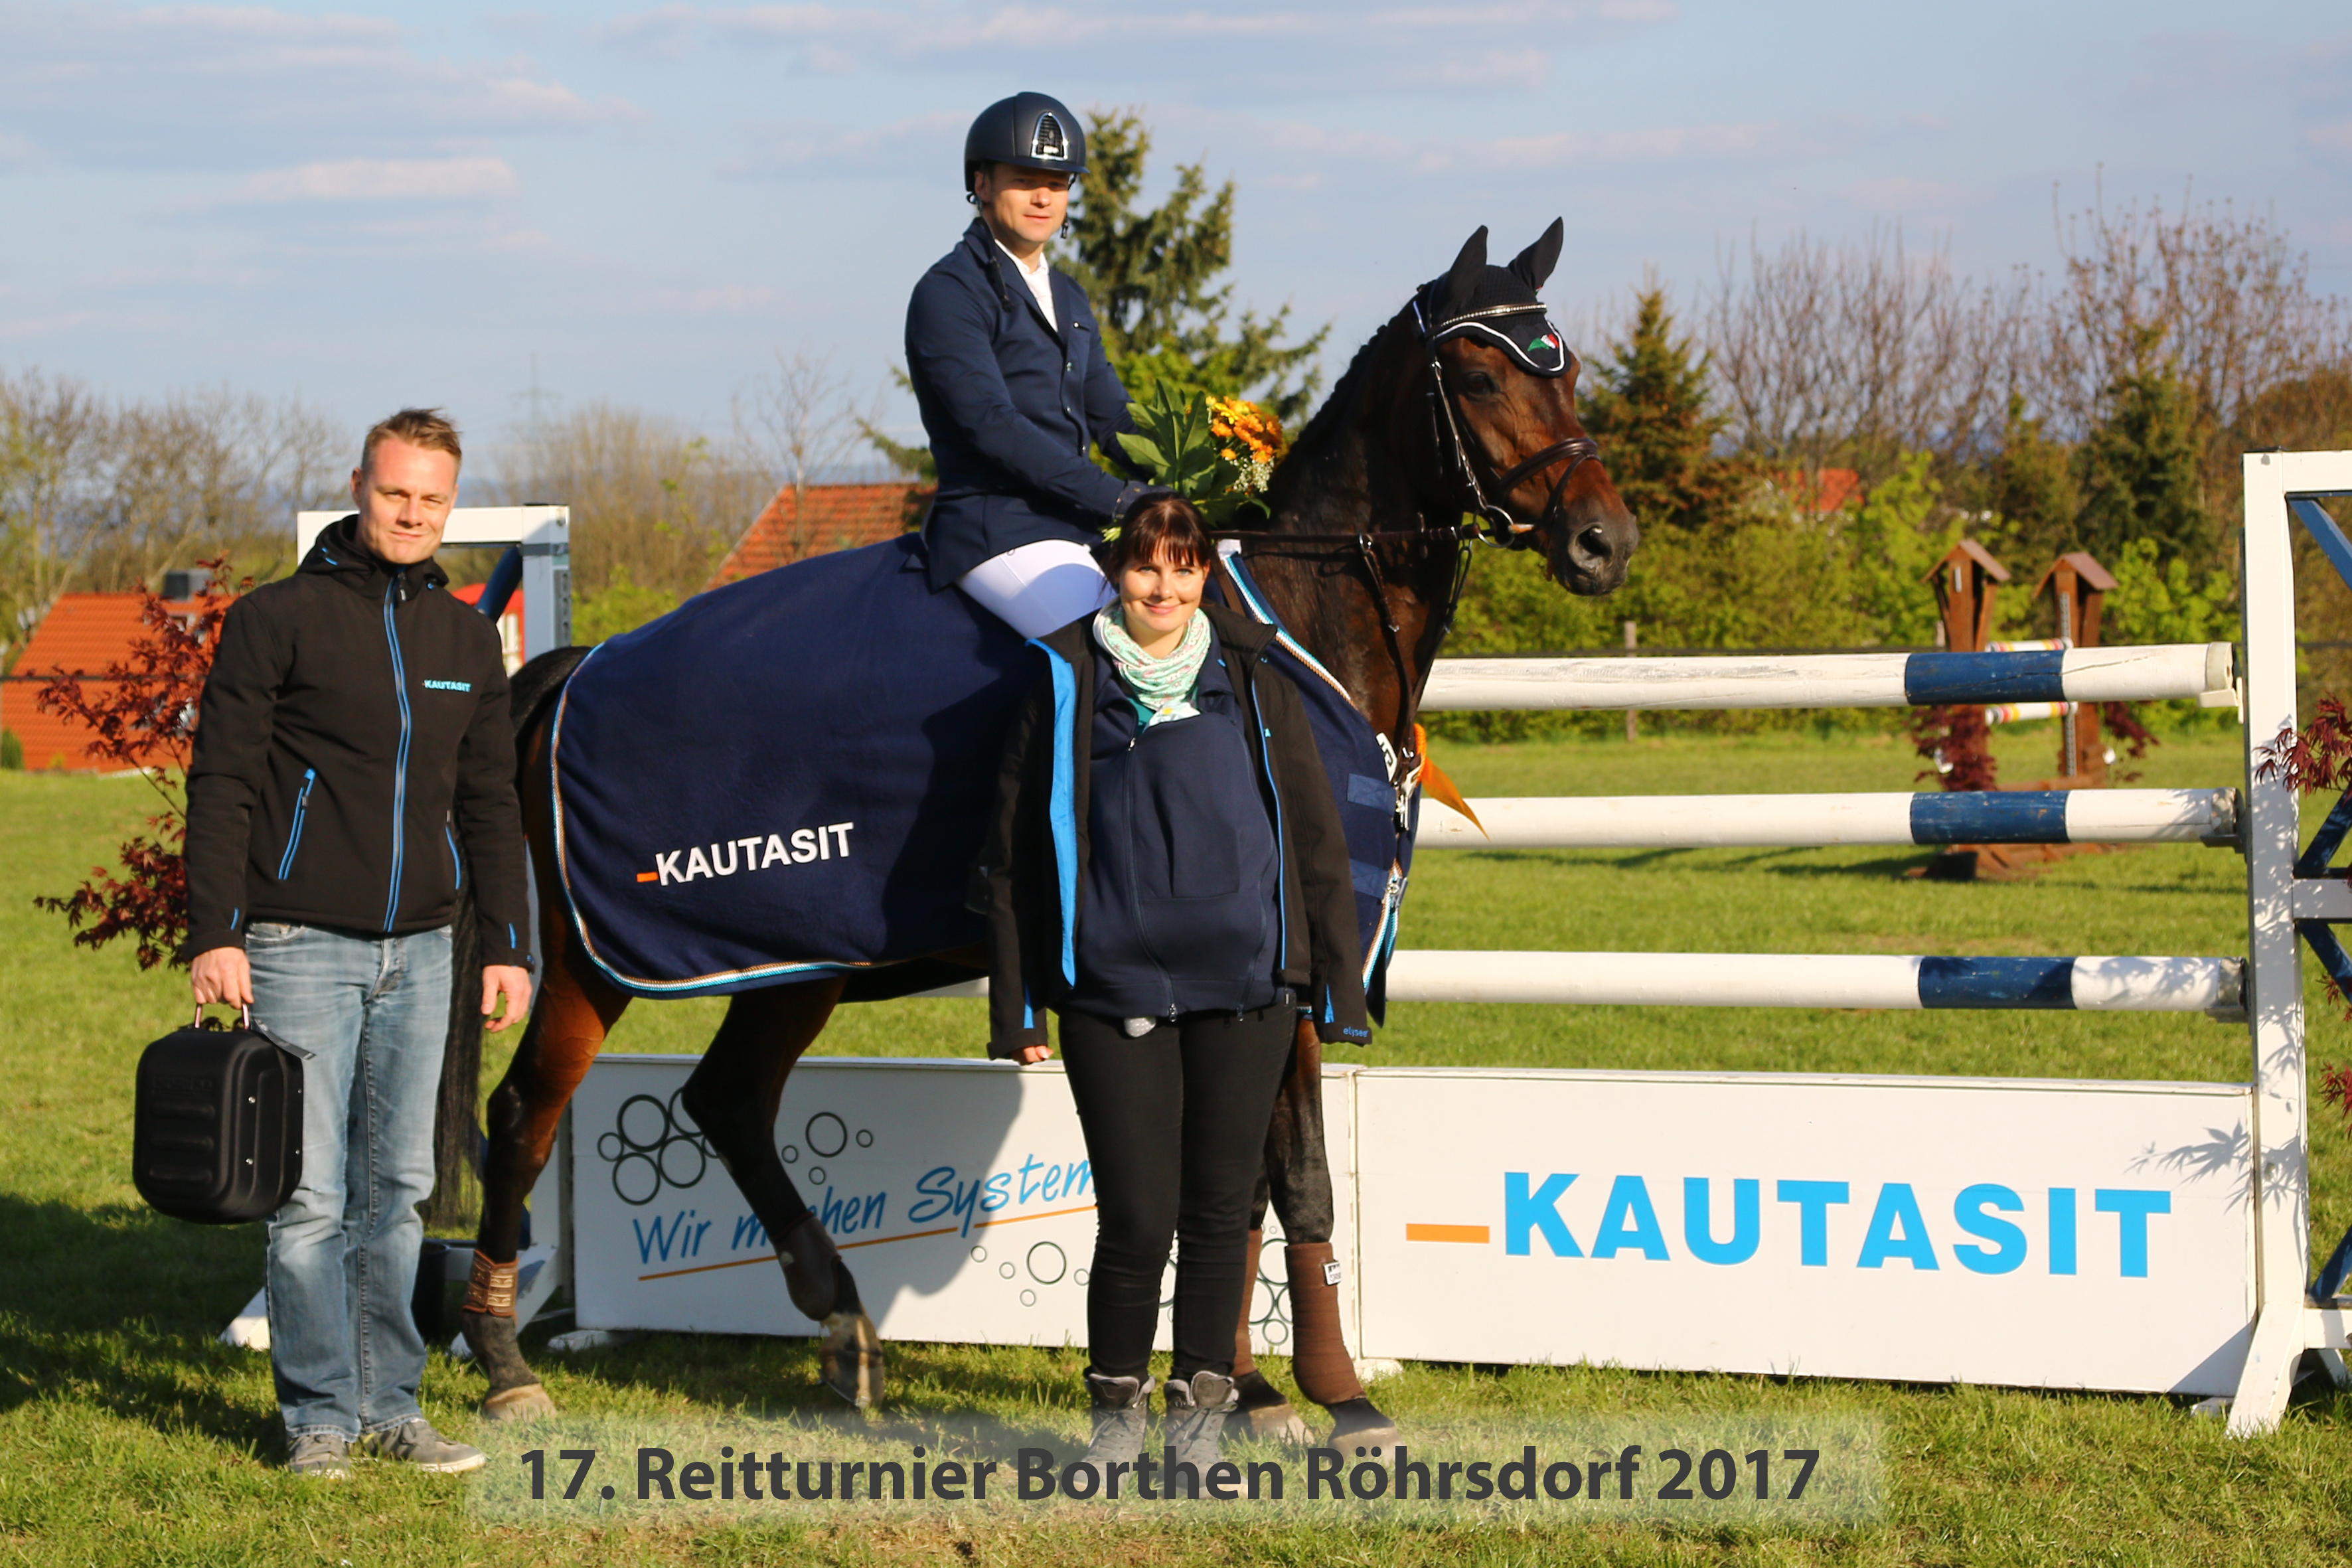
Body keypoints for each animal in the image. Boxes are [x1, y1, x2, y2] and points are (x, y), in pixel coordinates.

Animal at [451, 219, 1638, 1429]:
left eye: (1568, 369)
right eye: (1481, 376)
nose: (1604, 541)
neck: (1293, 625)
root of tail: (572, 669)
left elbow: (1241, 1180)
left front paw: (1240, 1382)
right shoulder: (1292, 960)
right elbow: (1294, 1175)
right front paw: (1327, 1394)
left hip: (793, 962)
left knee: (726, 1101)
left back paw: (841, 1328)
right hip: (605, 960)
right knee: (526, 1111)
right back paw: (503, 1358)